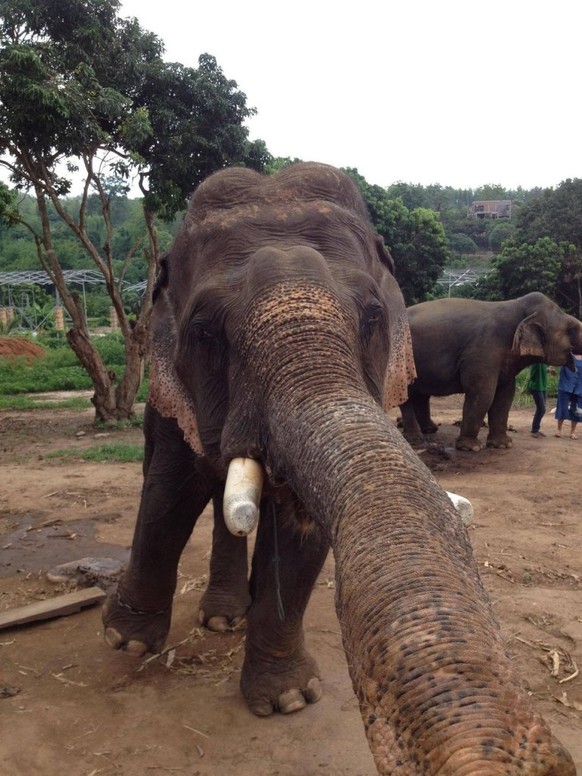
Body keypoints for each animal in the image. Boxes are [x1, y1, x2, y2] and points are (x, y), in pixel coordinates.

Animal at [400, 292, 582, 452]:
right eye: (572, 329)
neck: (515, 306)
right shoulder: (483, 352)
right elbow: (482, 394)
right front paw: (471, 448)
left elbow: (505, 396)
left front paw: (503, 445)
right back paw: (415, 439)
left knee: (420, 394)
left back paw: (430, 430)